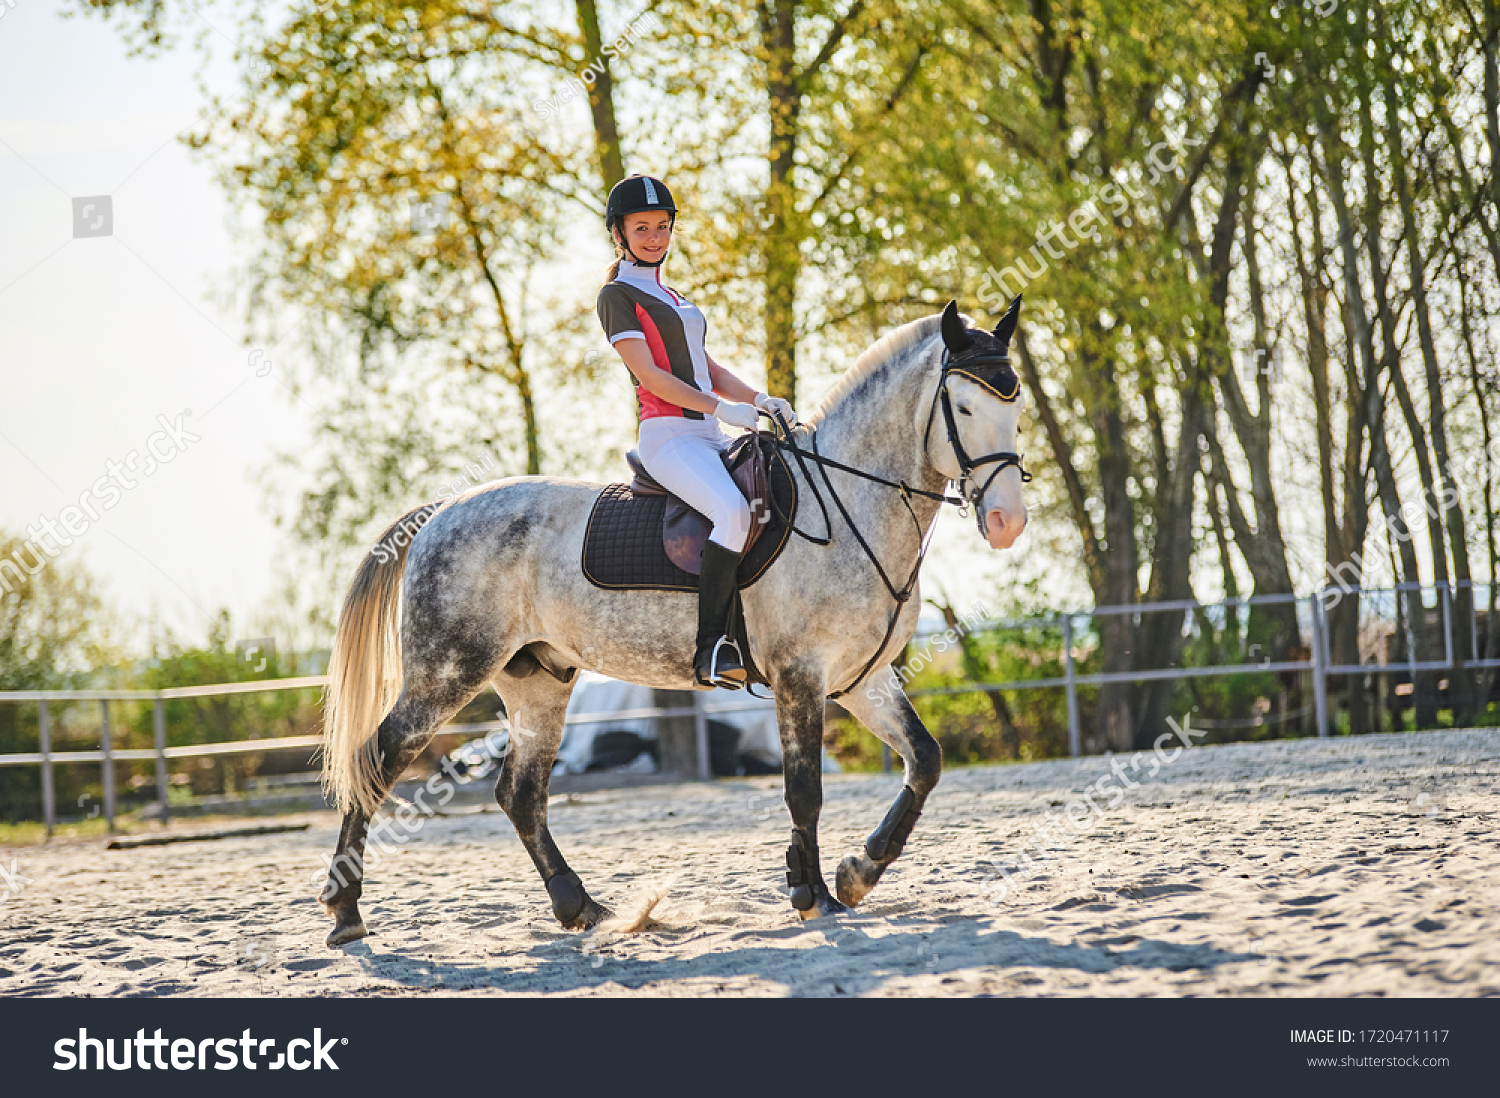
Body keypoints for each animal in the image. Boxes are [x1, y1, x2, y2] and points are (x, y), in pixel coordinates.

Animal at [317, 296, 1030, 947]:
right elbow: (804, 790)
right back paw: (346, 913)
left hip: (537, 680)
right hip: (446, 673)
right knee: (376, 762)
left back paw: (582, 909)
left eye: (1016, 407)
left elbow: (926, 761)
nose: (1007, 522)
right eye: (965, 409)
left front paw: (857, 872)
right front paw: (814, 894)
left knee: (520, 794)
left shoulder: (861, 679)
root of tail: (442, 511)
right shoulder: (800, 676)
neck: (849, 501)